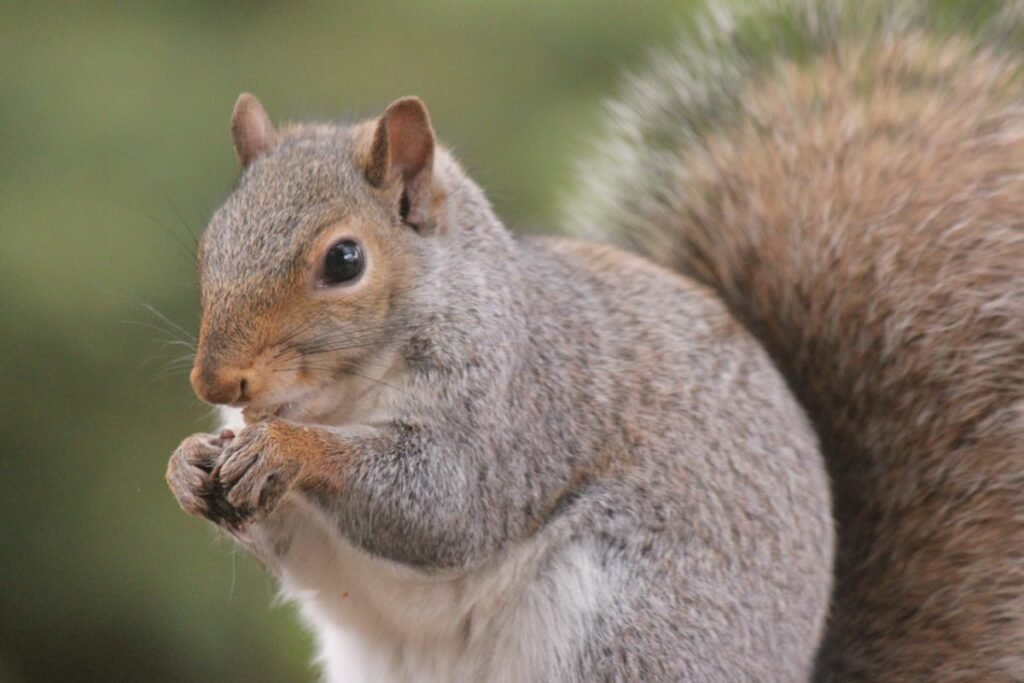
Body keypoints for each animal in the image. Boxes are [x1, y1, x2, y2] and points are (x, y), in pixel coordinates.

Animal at [166, 1, 1024, 681]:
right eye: (211, 239)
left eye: (344, 260)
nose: (215, 383)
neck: (338, 395)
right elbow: (299, 547)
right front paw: (188, 465)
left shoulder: (518, 405)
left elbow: (445, 503)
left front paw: (291, 450)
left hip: (631, 627)